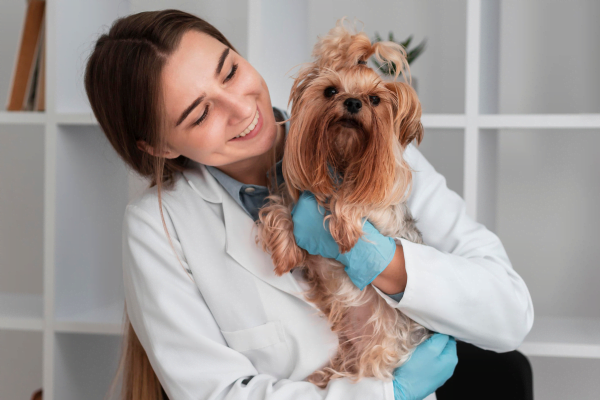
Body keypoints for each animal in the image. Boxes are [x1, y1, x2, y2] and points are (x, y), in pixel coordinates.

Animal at [256, 18, 432, 388]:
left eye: (375, 99)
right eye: (331, 92)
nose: (352, 103)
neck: (343, 159)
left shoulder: (382, 215)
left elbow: (352, 201)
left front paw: (345, 227)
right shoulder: (297, 200)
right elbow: (276, 209)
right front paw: (285, 251)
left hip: (383, 350)